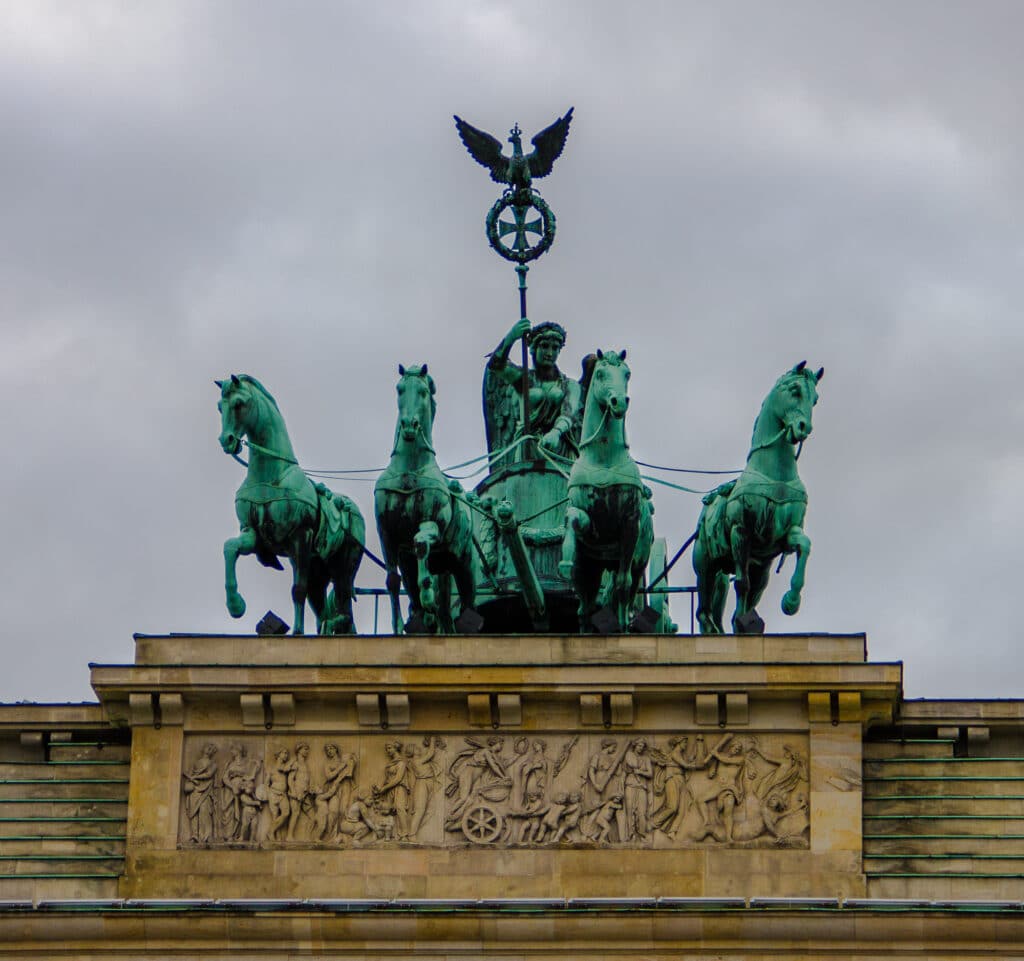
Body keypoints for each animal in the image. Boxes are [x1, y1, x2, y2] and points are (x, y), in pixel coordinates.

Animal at [374, 362, 477, 631]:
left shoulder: (432, 523)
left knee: (466, 601)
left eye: (422, 391)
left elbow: (420, 543)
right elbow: (392, 580)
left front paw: (428, 597)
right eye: (399, 389)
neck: (409, 469)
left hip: (463, 566)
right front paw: (398, 625)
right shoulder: (386, 533)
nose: (409, 425)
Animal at [561, 348, 655, 631]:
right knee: (585, 606)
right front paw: (565, 556)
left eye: (627, 374)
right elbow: (574, 518)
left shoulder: (630, 525)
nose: (619, 402)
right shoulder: (587, 522)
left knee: (624, 592)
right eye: (601, 373)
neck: (603, 458)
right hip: (590, 569)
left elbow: (623, 587)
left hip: (637, 562)